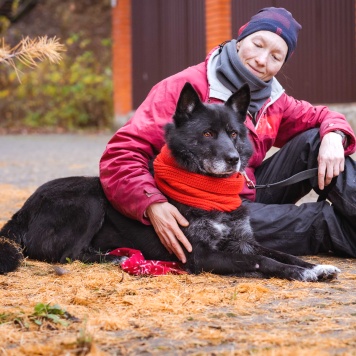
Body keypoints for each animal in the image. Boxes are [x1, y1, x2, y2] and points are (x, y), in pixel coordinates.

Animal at [0, 83, 340, 280]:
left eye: (233, 134)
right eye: (207, 134)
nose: (233, 159)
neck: (208, 191)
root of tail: (20, 213)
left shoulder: (242, 240)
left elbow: (278, 252)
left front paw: (315, 266)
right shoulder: (202, 254)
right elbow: (261, 260)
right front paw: (299, 273)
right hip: (90, 200)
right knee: (68, 254)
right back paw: (117, 257)